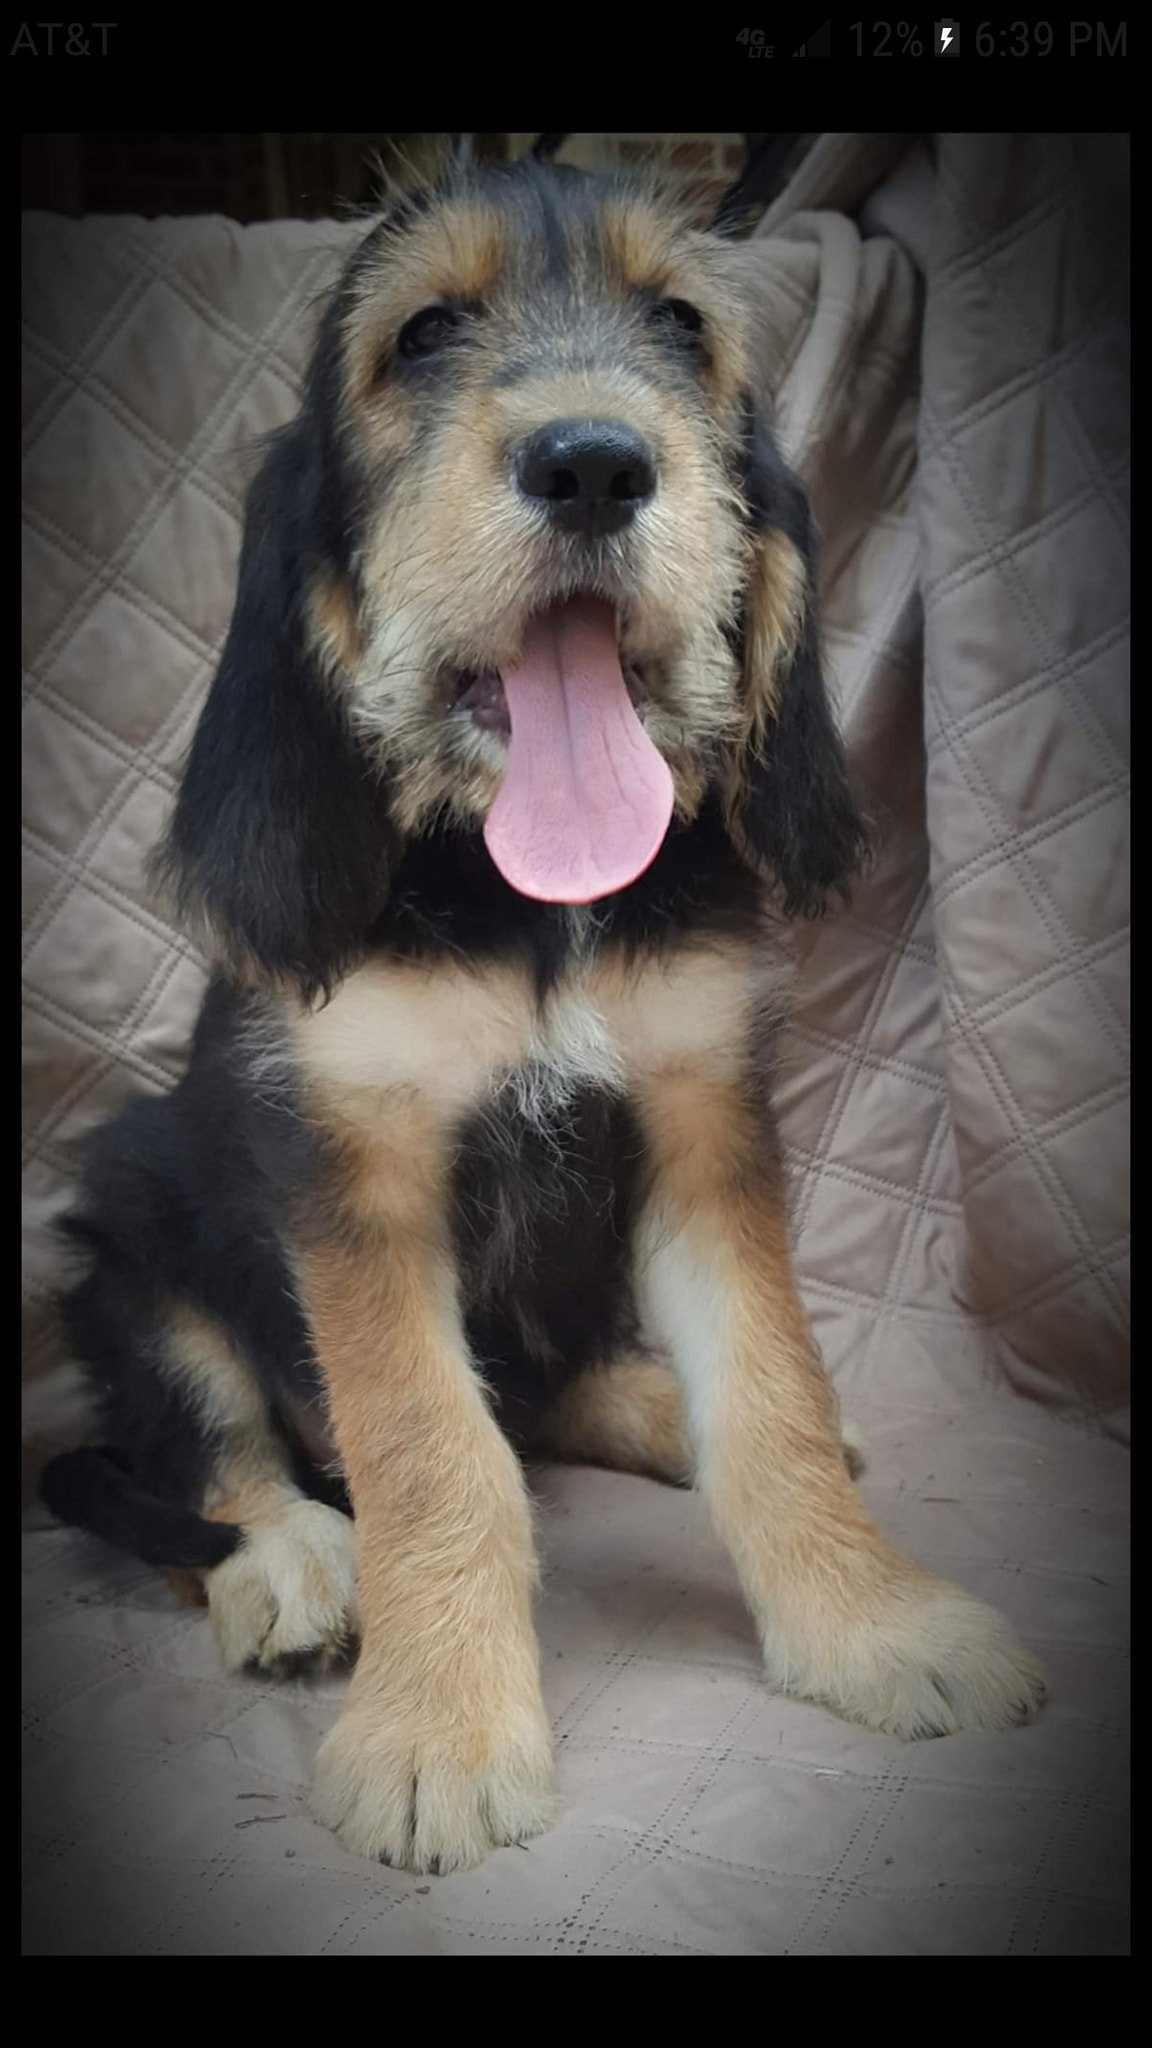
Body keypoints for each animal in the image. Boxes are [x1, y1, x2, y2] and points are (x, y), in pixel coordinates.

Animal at [38, 155, 1041, 1875]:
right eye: (426, 334)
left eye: (682, 327)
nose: (592, 465)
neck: (528, 894)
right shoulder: (357, 1179)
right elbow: (432, 1452)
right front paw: (438, 1728)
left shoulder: (705, 1120)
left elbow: (770, 1395)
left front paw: (870, 1621)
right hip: (132, 1218)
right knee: (203, 1452)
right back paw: (291, 1564)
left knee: (558, 1386)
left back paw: (652, 1407)